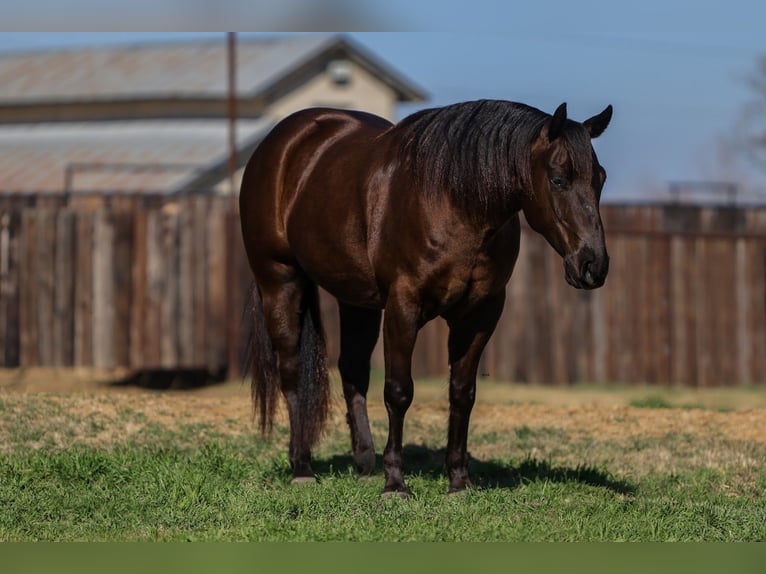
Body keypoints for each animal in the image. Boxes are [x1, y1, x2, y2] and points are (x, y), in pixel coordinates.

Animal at [239, 99, 613, 496]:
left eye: (600, 178)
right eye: (558, 179)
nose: (594, 265)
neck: (454, 202)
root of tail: (282, 140)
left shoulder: (480, 315)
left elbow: (462, 393)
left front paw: (459, 481)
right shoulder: (403, 306)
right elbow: (399, 391)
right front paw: (395, 484)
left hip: (357, 299)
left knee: (352, 369)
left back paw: (364, 463)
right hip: (279, 280)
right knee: (292, 371)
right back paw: (302, 467)